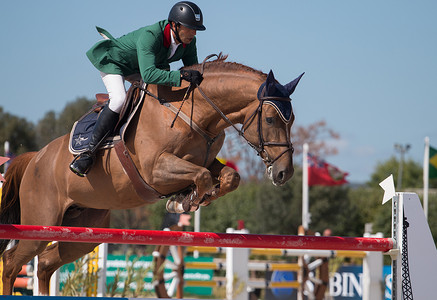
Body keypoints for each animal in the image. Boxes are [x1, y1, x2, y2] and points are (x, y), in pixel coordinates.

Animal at [0, 56, 304, 296]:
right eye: (270, 119)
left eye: (291, 120)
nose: (284, 172)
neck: (195, 112)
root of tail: (35, 158)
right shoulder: (155, 170)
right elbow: (202, 176)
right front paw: (184, 201)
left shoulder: (205, 161)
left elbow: (228, 177)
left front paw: (191, 197)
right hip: (41, 222)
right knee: (12, 262)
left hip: (84, 229)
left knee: (46, 263)